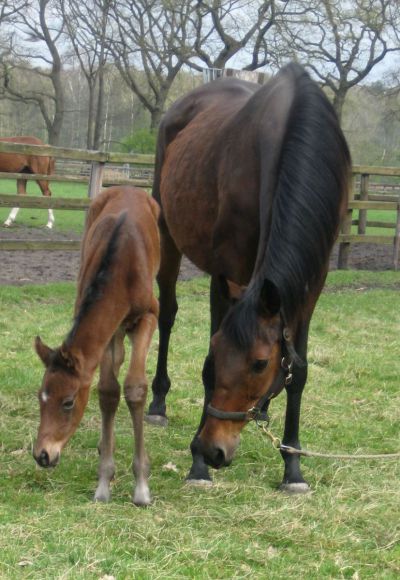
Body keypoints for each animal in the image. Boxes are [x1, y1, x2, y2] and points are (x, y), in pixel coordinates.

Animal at [32, 186, 160, 502]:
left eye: (68, 402)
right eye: (41, 396)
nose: (42, 454)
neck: (122, 265)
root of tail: (128, 187)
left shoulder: (149, 316)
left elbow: (135, 388)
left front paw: (141, 485)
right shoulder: (107, 330)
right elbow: (107, 391)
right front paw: (104, 479)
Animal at [147, 63, 350, 492]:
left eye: (259, 364)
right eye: (218, 354)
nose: (214, 450)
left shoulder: (309, 286)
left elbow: (299, 372)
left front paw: (293, 466)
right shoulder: (225, 274)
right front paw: (197, 467)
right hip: (166, 232)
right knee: (167, 314)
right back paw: (157, 403)